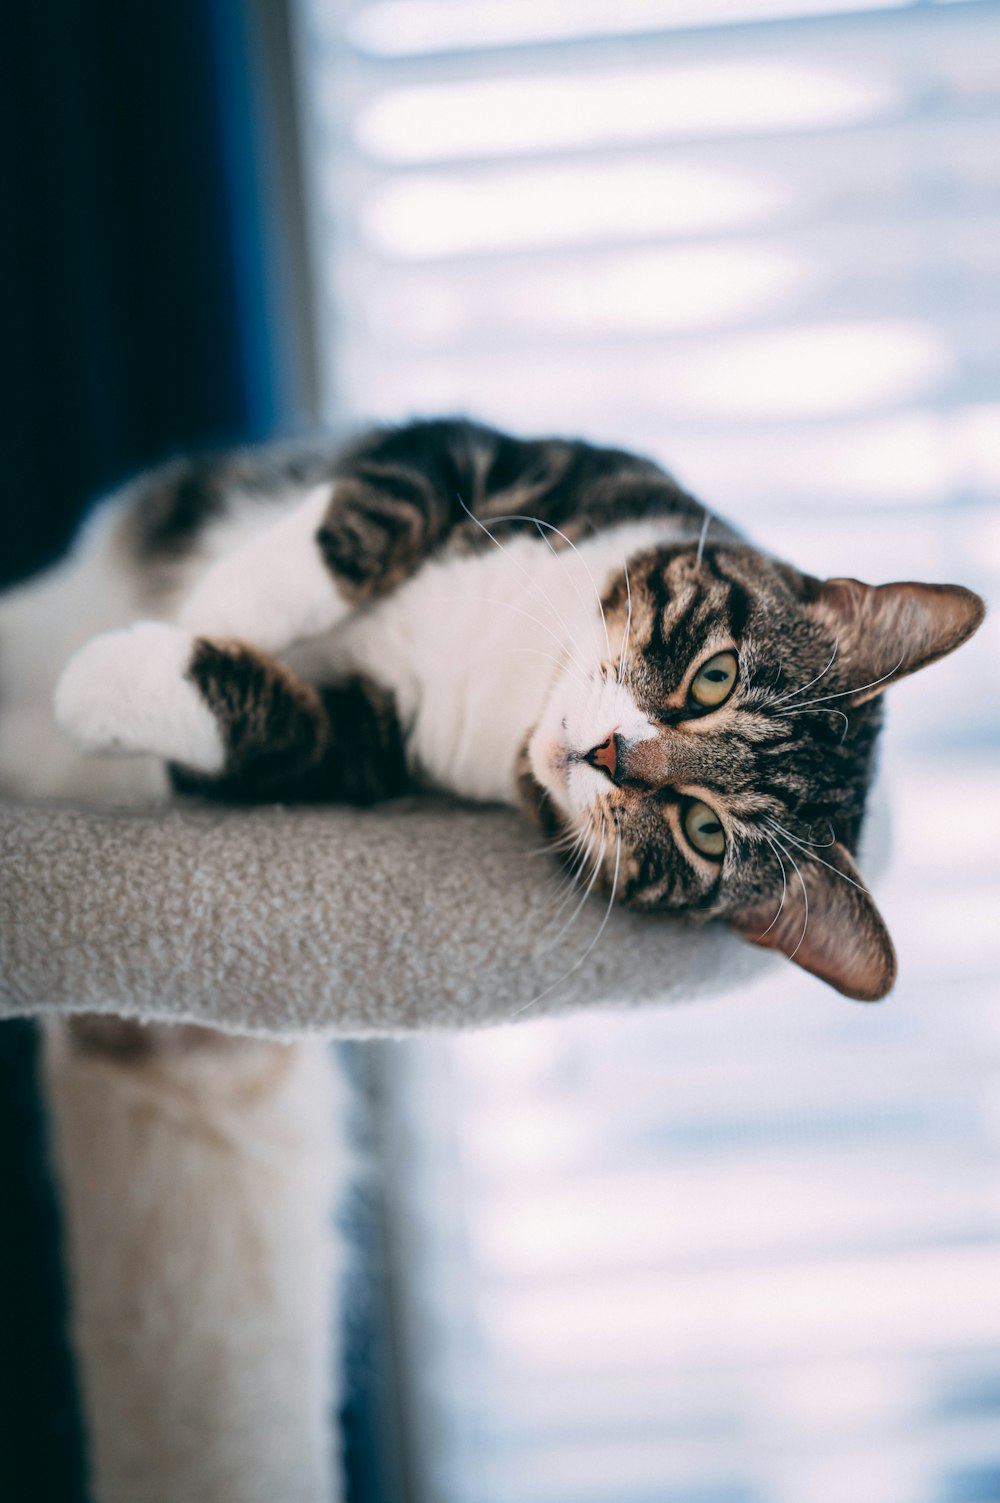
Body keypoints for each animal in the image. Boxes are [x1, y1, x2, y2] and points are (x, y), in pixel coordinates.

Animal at [0, 417, 980, 997]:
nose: (609, 754)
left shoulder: (369, 747)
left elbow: (284, 727)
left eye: (703, 830)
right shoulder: (485, 452)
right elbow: (367, 516)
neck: (519, 668)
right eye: (715, 677)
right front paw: (221, 599)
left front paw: (114, 674)